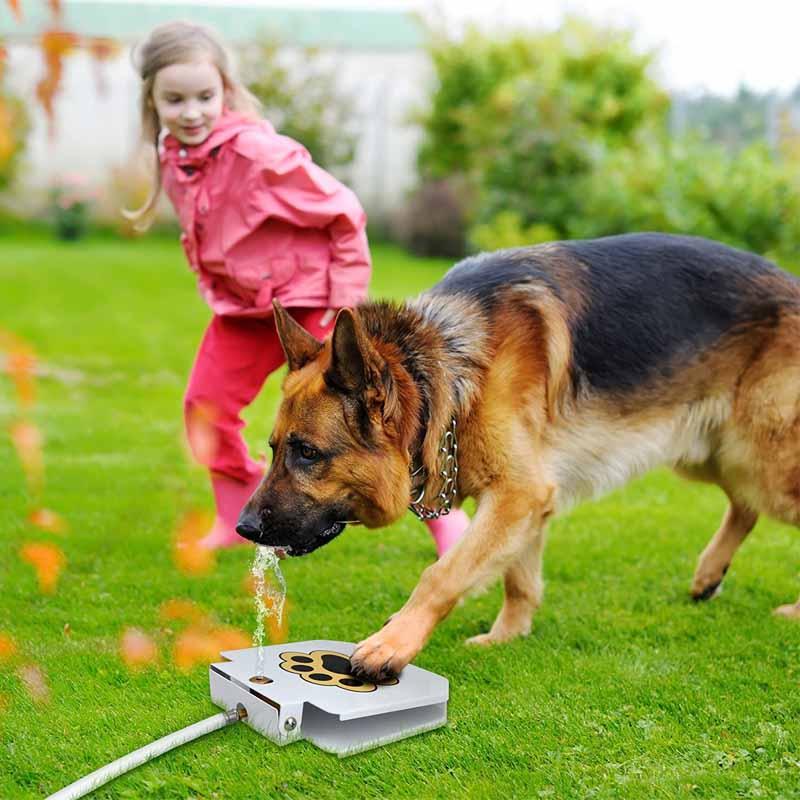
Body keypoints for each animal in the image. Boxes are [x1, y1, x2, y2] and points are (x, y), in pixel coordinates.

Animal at [239, 233, 800, 680]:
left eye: (308, 453)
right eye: (274, 449)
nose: (244, 528)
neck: (449, 371)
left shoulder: (519, 493)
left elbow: (443, 573)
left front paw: (392, 644)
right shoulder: (524, 501)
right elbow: (517, 577)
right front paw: (508, 635)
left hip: (759, 459)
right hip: (714, 455)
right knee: (744, 506)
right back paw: (709, 573)